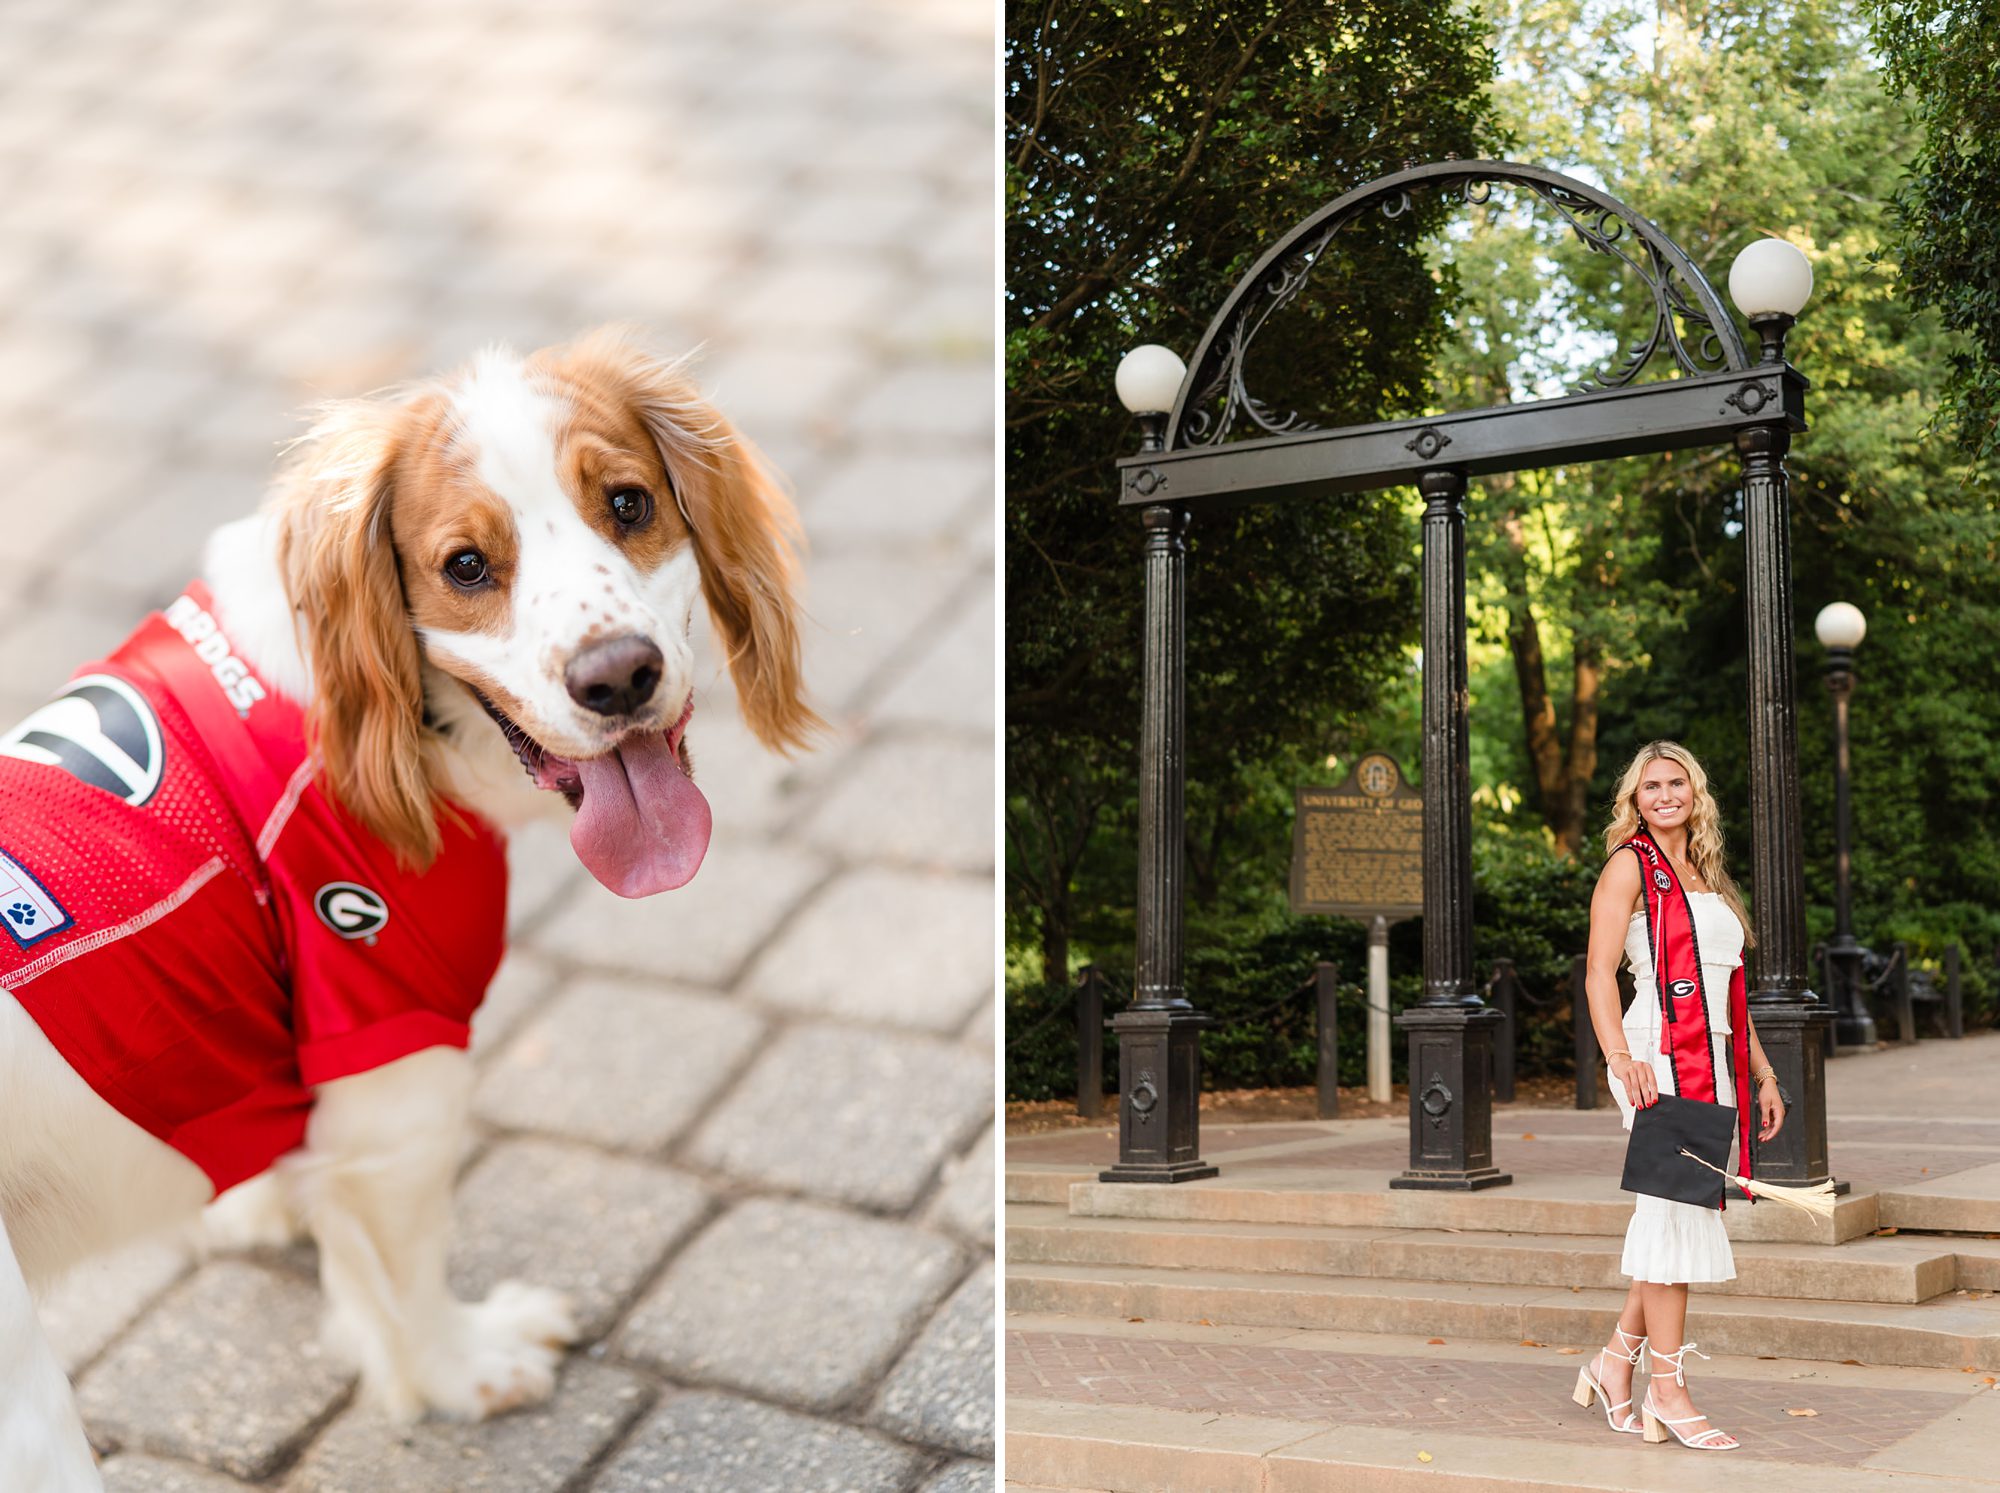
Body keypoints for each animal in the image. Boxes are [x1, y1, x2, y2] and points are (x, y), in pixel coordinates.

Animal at [0, 332, 820, 1480]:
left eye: (628, 502)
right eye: (465, 566)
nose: (618, 677)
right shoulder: (396, 1078)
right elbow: (408, 1272)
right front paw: (461, 1366)